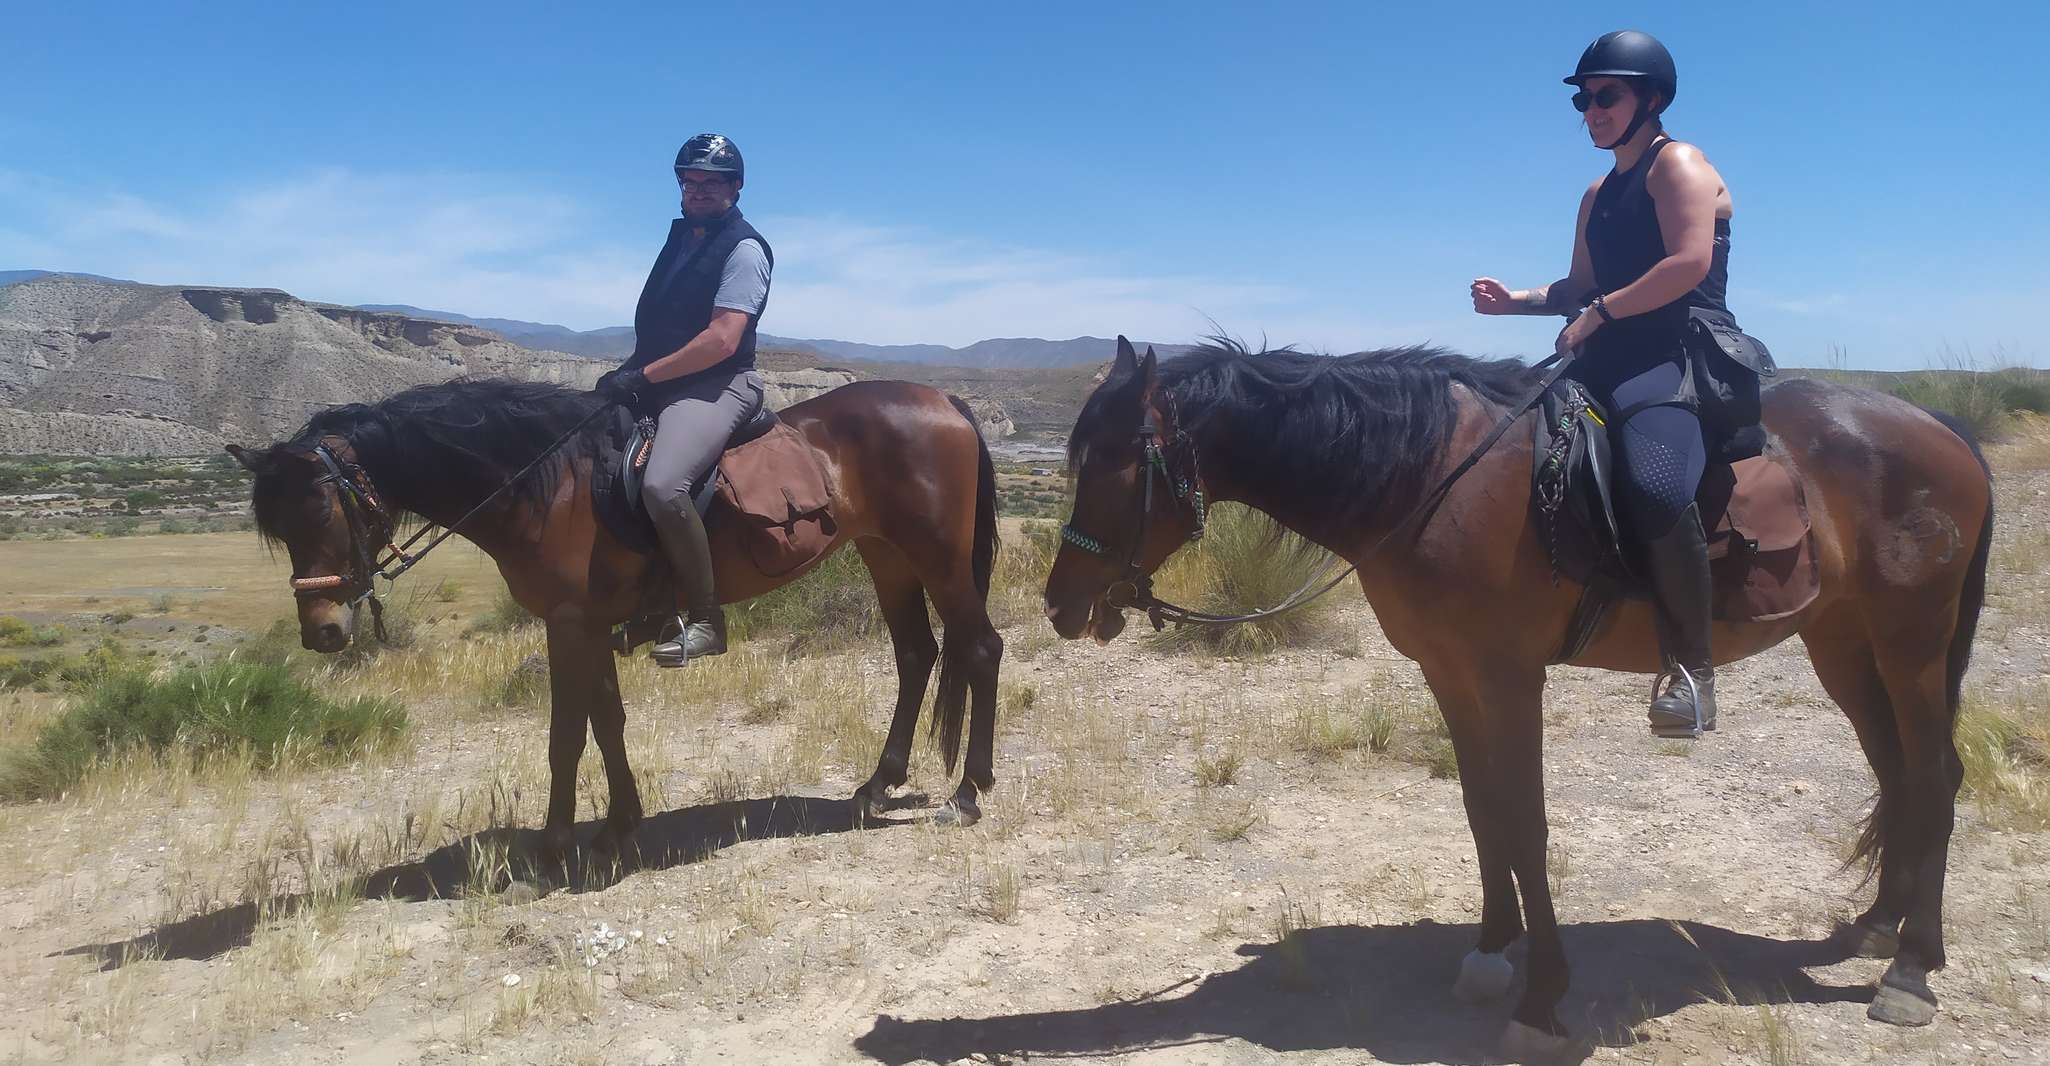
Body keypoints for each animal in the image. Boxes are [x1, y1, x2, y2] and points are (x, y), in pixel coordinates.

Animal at [235, 379, 1004, 861]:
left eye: (320, 510)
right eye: (276, 527)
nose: (322, 630)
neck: (545, 485)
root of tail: (945, 402)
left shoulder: (568, 623)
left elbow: (566, 735)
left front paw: (554, 847)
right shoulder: (586, 624)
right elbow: (607, 722)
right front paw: (616, 828)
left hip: (935, 556)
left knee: (980, 650)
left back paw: (968, 795)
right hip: (888, 555)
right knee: (917, 654)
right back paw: (877, 787)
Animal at [1049, 338, 1992, 1049]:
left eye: (1116, 463)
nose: (1062, 605)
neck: (1428, 477)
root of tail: (1942, 428)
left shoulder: (1509, 676)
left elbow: (1528, 822)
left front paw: (1543, 998)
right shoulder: (1449, 671)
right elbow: (1482, 811)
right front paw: (1492, 953)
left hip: (1910, 641)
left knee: (1934, 778)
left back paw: (1911, 970)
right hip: (1844, 642)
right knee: (1898, 772)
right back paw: (1875, 927)